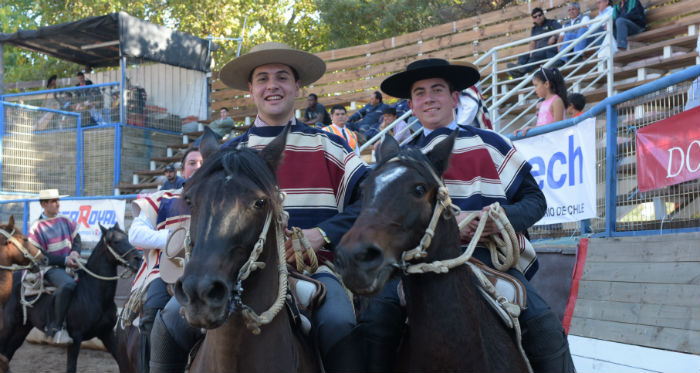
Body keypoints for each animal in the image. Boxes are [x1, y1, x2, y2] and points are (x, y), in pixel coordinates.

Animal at [0, 224, 142, 372]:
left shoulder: (107, 333)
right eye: (114, 241)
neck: (93, 293)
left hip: (22, 328)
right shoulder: (75, 338)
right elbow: (71, 367)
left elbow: (120, 360)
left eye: (127, 237)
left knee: (7, 355)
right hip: (8, 326)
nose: (138, 258)